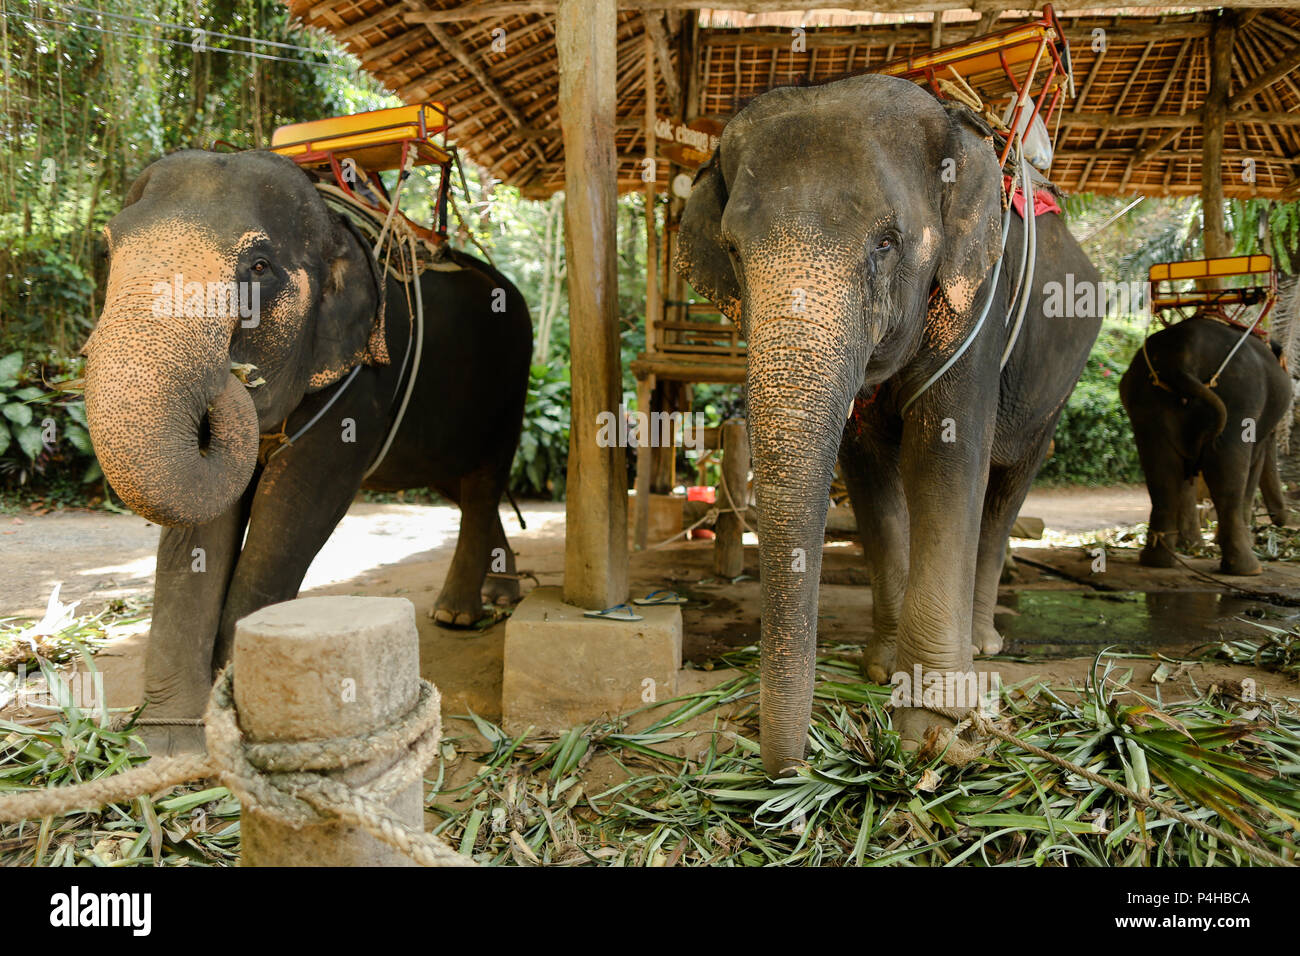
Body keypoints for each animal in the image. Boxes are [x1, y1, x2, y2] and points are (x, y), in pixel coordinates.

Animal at [83, 149, 530, 754]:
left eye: (260, 267)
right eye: (108, 251)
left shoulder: (361, 375)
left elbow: (296, 504)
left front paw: (249, 708)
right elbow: (200, 527)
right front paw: (168, 742)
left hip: (512, 383)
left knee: (484, 479)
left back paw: (457, 614)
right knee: (459, 486)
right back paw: (497, 595)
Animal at [676, 74, 1102, 780]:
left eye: (886, 242)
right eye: (733, 251)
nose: (789, 769)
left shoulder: (976, 299)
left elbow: (946, 463)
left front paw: (934, 730)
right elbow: (869, 479)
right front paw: (881, 672)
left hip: (1057, 387)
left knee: (1005, 490)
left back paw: (983, 645)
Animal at [1118, 319, 1289, 574]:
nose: (1280, 522)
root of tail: (1182, 355)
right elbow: (1254, 465)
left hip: (1147, 403)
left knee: (1161, 474)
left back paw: (1157, 561)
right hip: (1239, 400)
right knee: (1228, 478)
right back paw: (1248, 569)